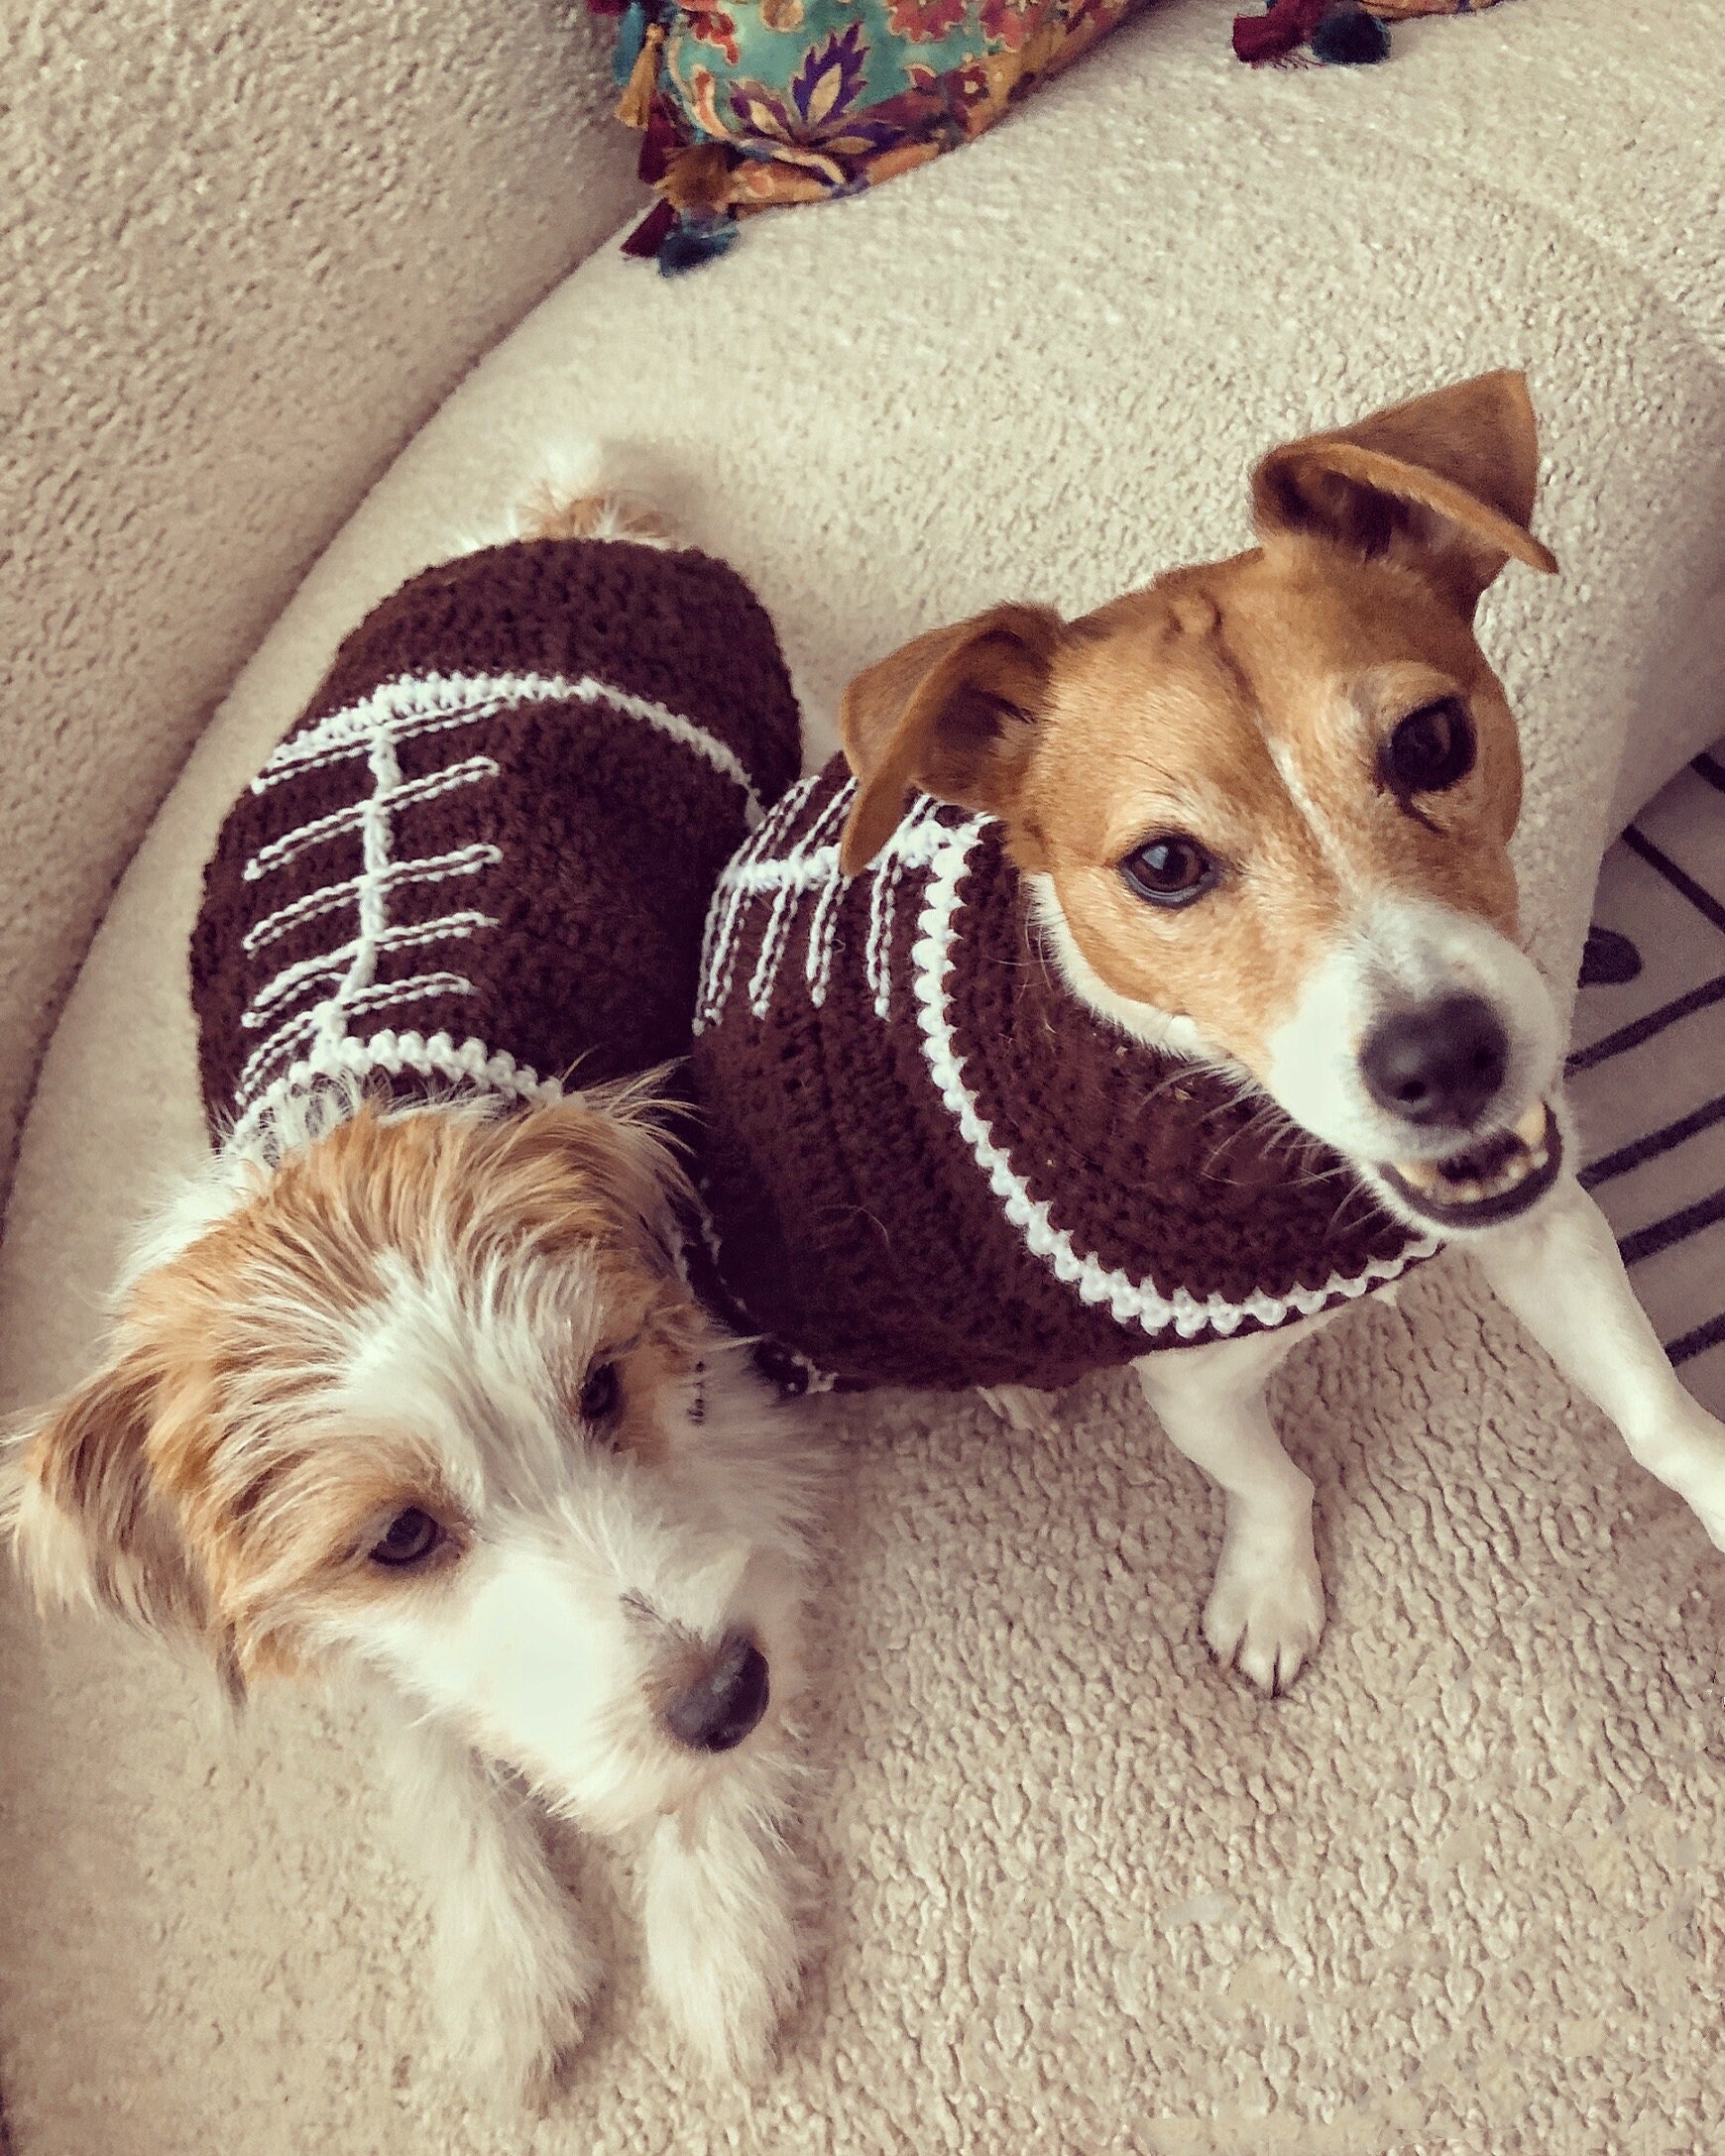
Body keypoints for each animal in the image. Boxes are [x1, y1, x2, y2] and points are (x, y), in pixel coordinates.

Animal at [0, 494, 823, 2103]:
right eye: (398, 1537)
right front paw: (508, 1965)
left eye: (601, 1391)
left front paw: (716, 1932)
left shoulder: (730, 1403)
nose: (728, 1698)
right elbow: (427, 1730)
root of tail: (567, 525)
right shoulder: (319, 1599)